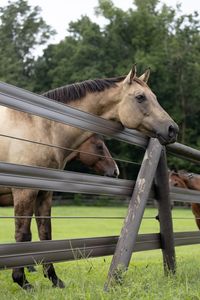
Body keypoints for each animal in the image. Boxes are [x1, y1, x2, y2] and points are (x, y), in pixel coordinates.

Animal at [0, 66, 178, 290]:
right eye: (140, 97)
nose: (173, 129)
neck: (39, 126)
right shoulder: (24, 191)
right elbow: (23, 235)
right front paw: (22, 281)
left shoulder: (44, 193)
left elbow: (45, 234)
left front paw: (54, 279)